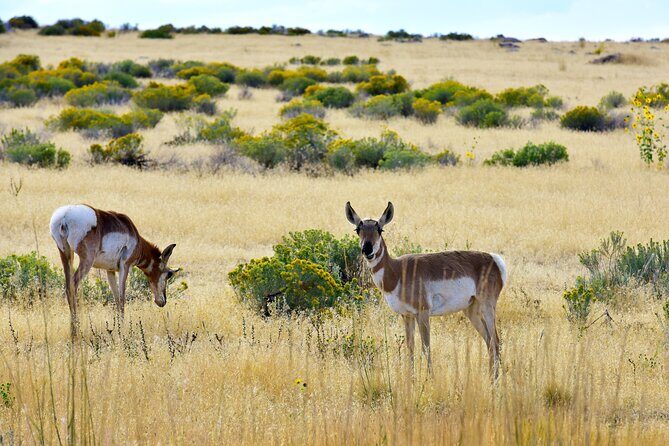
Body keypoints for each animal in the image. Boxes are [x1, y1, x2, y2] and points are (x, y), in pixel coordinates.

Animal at [49, 204, 179, 329]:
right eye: (169, 274)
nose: (162, 302)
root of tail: (64, 216)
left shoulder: (109, 271)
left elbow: (116, 298)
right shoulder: (125, 266)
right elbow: (122, 298)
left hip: (65, 255)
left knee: (67, 286)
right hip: (86, 261)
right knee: (73, 285)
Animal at [345, 202, 507, 379]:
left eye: (380, 229)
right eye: (358, 229)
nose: (367, 249)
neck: (398, 271)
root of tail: (493, 259)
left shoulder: (423, 313)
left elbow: (426, 346)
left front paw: (430, 379)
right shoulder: (407, 315)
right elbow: (410, 347)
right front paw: (411, 379)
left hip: (487, 307)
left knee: (495, 340)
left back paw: (496, 380)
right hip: (471, 310)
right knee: (489, 341)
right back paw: (491, 378)